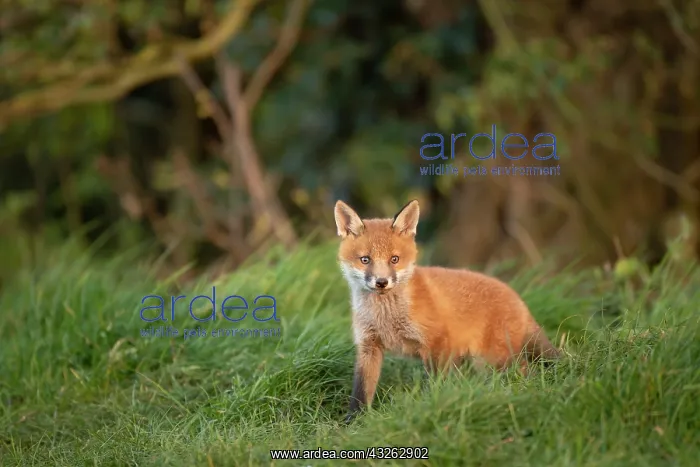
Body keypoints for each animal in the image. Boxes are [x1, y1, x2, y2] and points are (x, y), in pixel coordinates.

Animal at [334, 199, 561, 422]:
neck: (387, 318)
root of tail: (517, 297)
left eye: (394, 259)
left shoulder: (437, 344)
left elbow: (436, 385)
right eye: (365, 260)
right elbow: (361, 391)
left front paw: (431, 407)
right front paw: (355, 421)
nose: (382, 282)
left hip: (493, 358)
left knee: (525, 371)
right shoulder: (368, 346)